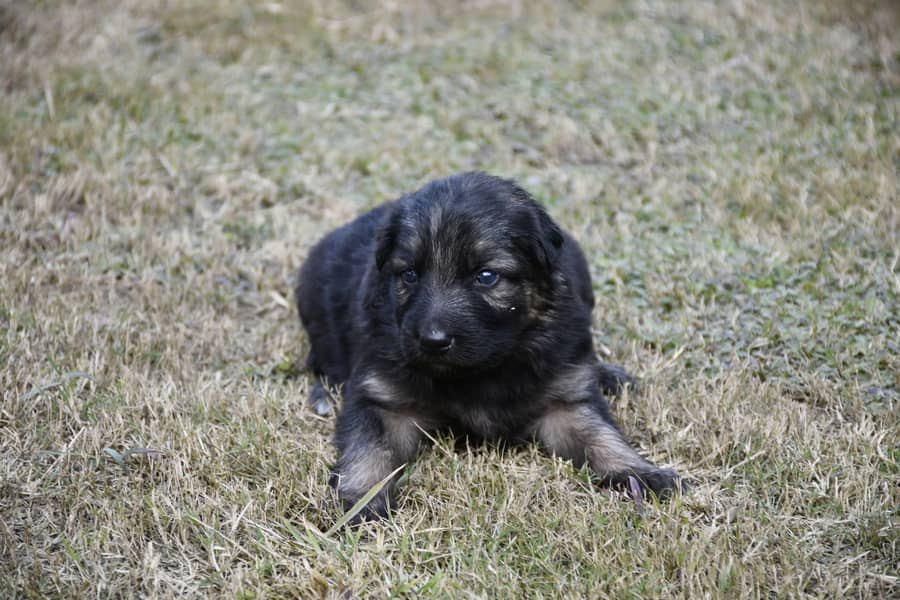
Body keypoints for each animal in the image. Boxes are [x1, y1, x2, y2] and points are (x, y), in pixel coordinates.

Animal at [298, 171, 684, 516]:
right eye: (408, 275)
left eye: (486, 277)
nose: (432, 341)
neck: (481, 368)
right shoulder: (382, 400)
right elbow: (369, 449)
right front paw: (359, 499)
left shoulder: (565, 403)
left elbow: (599, 435)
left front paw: (640, 472)